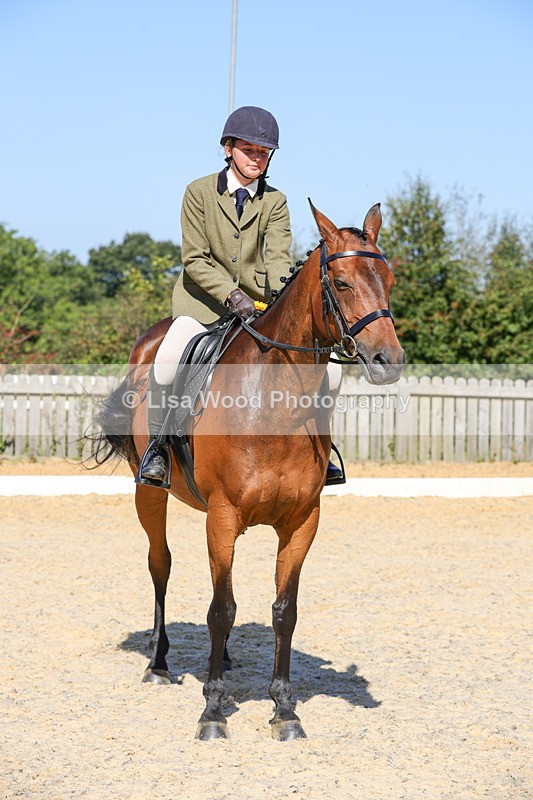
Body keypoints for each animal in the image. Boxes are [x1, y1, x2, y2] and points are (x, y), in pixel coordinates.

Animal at [89, 201, 405, 741]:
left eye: (387, 278)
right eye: (342, 283)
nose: (390, 361)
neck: (272, 403)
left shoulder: (301, 522)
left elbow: (283, 611)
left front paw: (284, 710)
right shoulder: (223, 517)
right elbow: (221, 609)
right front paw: (213, 711)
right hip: (149, 493)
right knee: (160, 563)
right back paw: (158, 663)